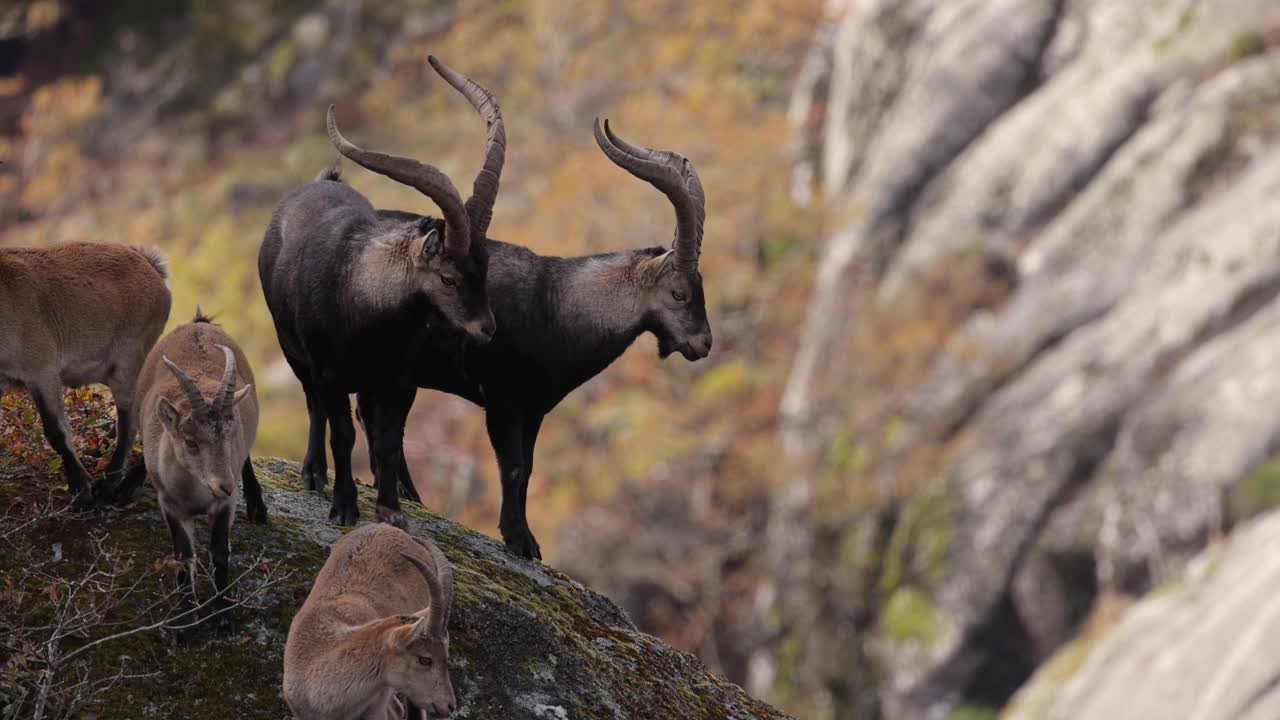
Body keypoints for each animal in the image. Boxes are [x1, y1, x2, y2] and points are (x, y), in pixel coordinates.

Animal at [0, 242, 171, 509]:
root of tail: (152, 267)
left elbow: (56, 431)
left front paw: (81, 491)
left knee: (133, 420)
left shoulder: (41, 370)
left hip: (127, 364)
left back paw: (115, 485)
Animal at [121, 311, 262, 643]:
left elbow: (220, 552)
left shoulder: (225, 506)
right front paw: (184, 622)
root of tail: (200, 323)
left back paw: (258, 505)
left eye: (229, 433)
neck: (194, 493)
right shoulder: (170, 505)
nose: (225, 485)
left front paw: (224, 616)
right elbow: (184, 555)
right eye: (190, 441)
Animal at [259, 55, 503, 530]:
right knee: (313, 405)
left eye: (485, 270)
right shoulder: (331, 373)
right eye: (448, 277)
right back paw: (313, 473)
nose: (487, 329)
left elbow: (389, 438)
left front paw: (391, 510)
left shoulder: (398, 379)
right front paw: (344, 508)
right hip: (292, 348)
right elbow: (342, 433)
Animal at [360, 119, 710, 559]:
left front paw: (526, 538)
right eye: (679, 293)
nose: (704, 344)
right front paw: (517, 540)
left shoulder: (535, 409)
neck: (557, 305)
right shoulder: (503, 400)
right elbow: (512, 467)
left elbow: (527, 469)